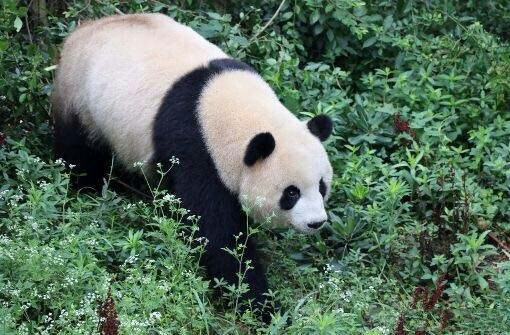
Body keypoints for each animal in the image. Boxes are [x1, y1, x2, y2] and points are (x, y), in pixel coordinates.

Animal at [52, 13, 334, 322]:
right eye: (291, 193)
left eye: (322, 186)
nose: (317, 222)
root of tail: (82, 29)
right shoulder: (195, 150)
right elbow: (217, 236)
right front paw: (263, 307)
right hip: (79, 95)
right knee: (79, 149)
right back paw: (86, 188)